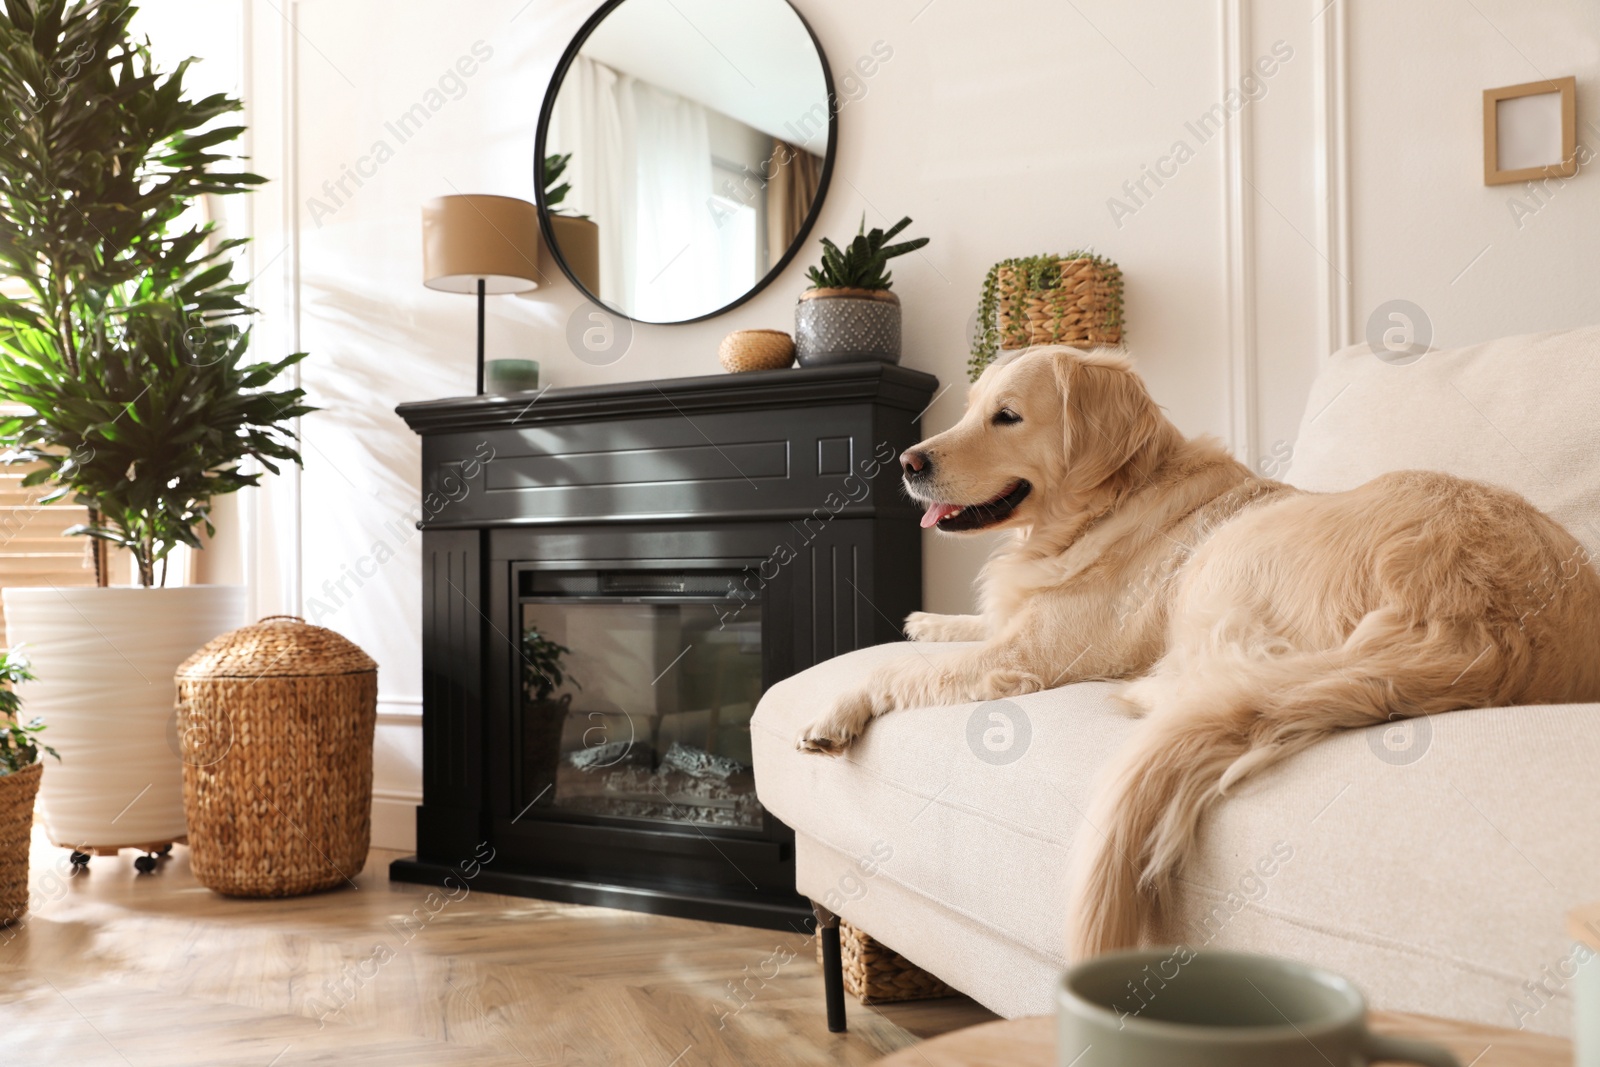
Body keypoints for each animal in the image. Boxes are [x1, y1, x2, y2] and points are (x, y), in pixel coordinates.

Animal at [800, 343, 1600, 959]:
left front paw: (835, 709)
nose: (906, 461)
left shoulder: (1035, 652)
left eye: (1008, 416)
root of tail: (1482, 623)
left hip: (1240, 552)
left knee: (1216, 676)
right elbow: (964, 626)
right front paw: (925, 618)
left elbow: (902, 671)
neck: (1108, 505)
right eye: (969, 410)